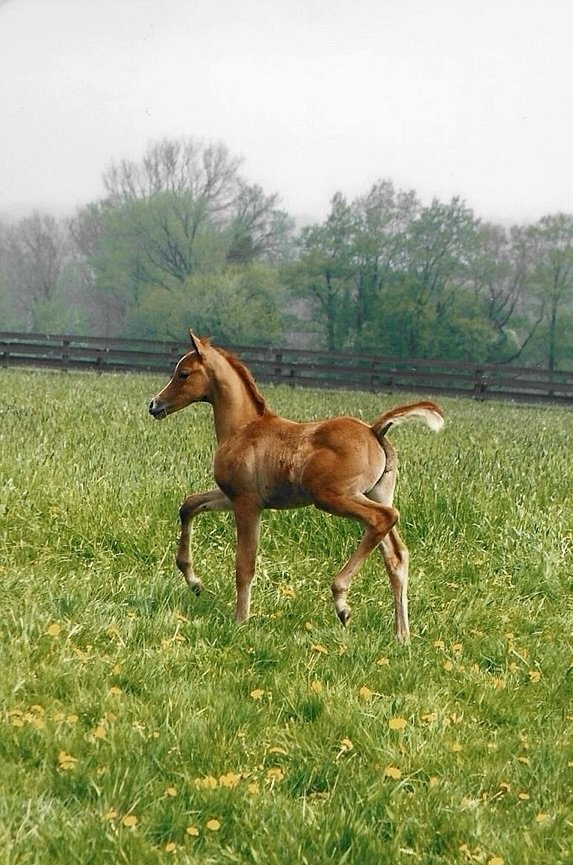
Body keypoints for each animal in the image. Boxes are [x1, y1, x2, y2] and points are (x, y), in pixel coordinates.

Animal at [149, 332, 444, 641]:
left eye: (183, 373)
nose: (154, 405)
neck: (243, 429)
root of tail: (374, 431)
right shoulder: (231, 496)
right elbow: (189, 505)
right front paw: (194, 581)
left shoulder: (247, 503)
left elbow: (244, 564)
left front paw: (240, 621)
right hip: (375, 494)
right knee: (396, 556)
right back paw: (402, 635)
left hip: (333, 497)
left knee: (383, 519)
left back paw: (342, 602)